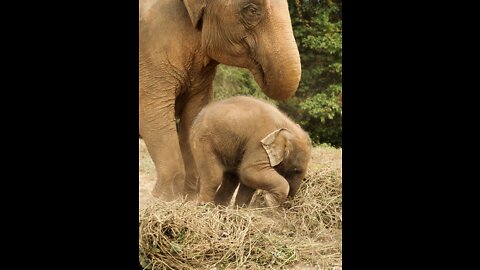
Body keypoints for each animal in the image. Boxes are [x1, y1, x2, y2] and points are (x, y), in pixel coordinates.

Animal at [139, 0, 302, 200]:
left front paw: (187, 199)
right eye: (252, 10)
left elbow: (194, 113)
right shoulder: (151, 46)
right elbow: (153, 111)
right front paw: (162, 200)